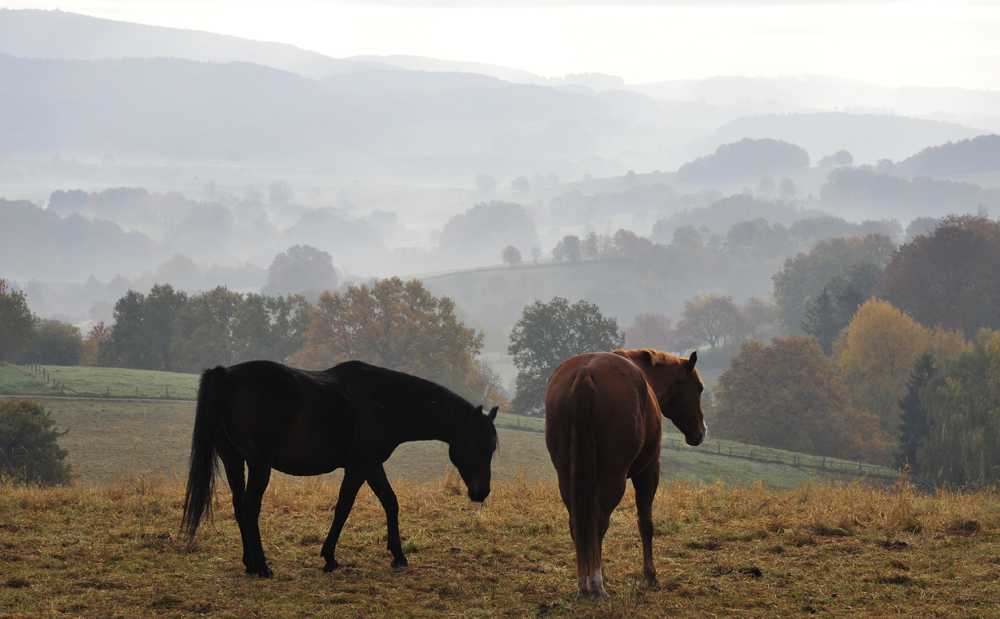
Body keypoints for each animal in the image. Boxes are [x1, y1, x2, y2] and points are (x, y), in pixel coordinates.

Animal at [181, 360, 500, 580]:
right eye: (479, 445)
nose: (482, 492)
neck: (385, 400)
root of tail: (226, 374)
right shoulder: (358, 467)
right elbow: (343, 508)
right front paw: (329, 558)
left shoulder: (373, 465)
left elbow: (391, 503)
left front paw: (398, 555)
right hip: (259, 464)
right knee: (250, 506)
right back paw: (262, 566)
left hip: (233, 460)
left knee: (238, 506)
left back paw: (249, 564)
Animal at [548, 352, 704, 600]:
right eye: (699, 388)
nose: (700, 432)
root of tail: (585, 373)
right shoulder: (648, 472)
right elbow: (646, 524)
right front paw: (650, 575)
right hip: (614, 478)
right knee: (598, 523)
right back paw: (595, 584)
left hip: (567, 478)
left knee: (578, 524)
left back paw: (585, 581)